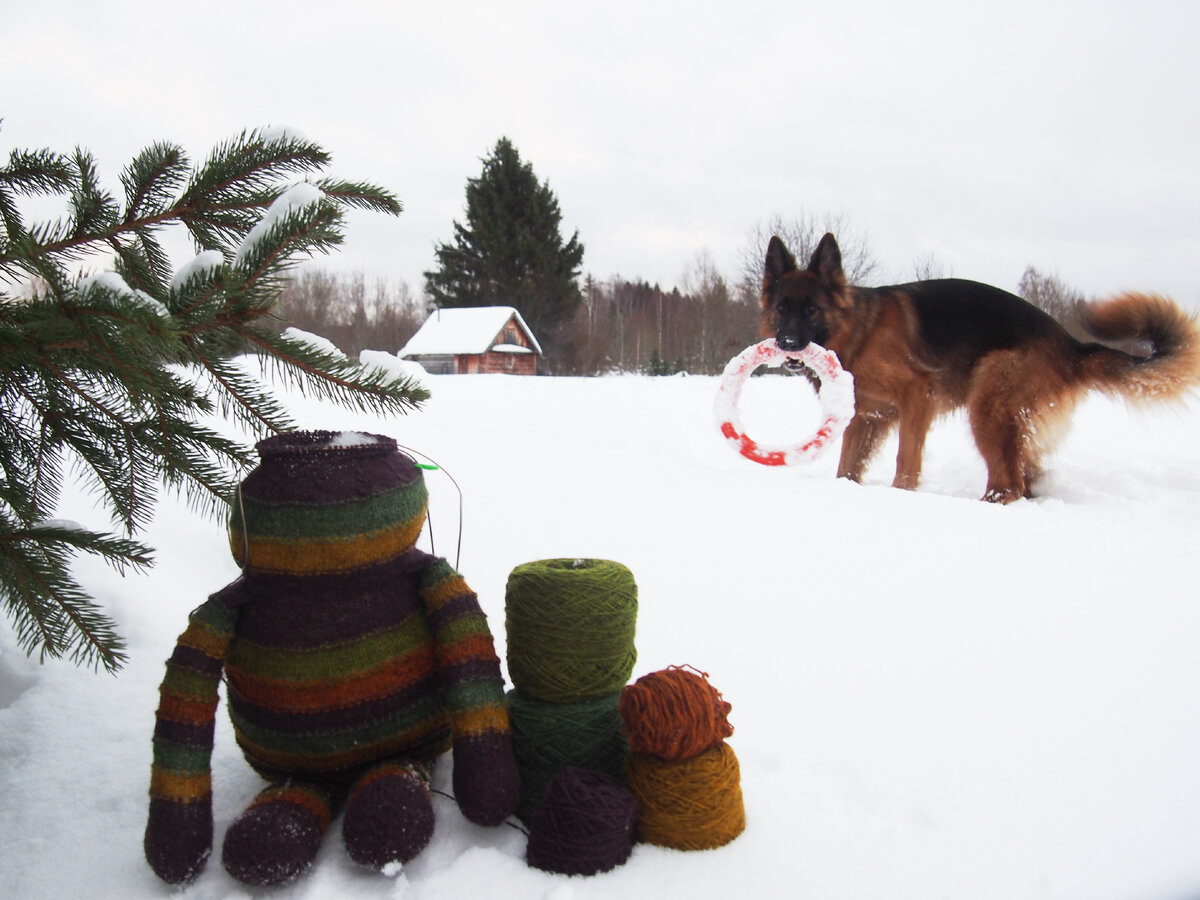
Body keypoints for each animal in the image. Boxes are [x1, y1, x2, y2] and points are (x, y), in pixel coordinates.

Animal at [758, 232, 1200, 504]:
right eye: (782, 309)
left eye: (811, 309)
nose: (789, 343)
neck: (860, 331)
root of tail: (1070, 343)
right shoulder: (868, 418)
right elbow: (847, 467)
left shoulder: (918, 396)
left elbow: (906, 461)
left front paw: (902, 495)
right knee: (1023, 479)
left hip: (988, 403)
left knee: (1010, 484)